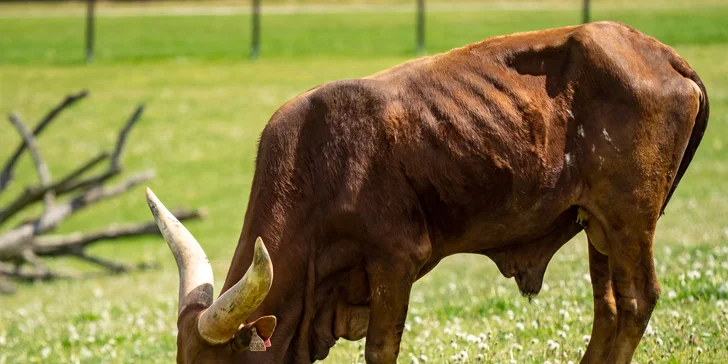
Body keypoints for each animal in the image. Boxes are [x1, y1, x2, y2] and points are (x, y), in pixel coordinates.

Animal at [145, 20, 708, 364]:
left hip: (630, 216)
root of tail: (658, 53)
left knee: (635, 301)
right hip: (599, 224)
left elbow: (380, 350)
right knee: (608, 306)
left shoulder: (395, 261)